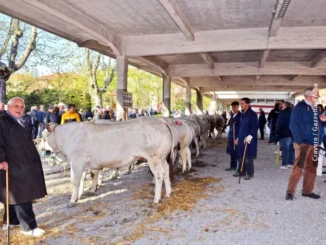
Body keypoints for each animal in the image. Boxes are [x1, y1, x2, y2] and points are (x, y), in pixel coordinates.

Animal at [45, 117, 176, 206]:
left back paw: (156, 199)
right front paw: (80, 195)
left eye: (44, 135)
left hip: (153, 158)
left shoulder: (76, 161)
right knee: (166, 172)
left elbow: (75, 181)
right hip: (162, 158)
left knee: (159, 175)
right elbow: (83, 179)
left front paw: (72, 200)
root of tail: (161, 121)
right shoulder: (83, 165)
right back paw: (168, 193)